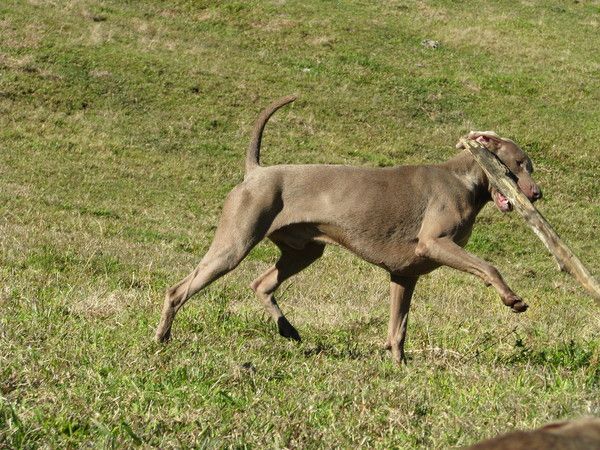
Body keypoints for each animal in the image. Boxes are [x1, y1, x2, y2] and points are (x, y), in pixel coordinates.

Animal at [155, 96, 542, 363]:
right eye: (518, 164)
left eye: (530, 167)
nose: (537, 194)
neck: (463, 180)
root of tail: (256, 172)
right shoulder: (434, 243)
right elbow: (489, 266)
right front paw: (512, 299)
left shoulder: (404, 275)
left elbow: (399, 327)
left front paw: (399, 365)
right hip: (235, 243)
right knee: (179, 290)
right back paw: (162, 337)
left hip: (306, 250)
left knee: (261, 283)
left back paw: (288, 329)